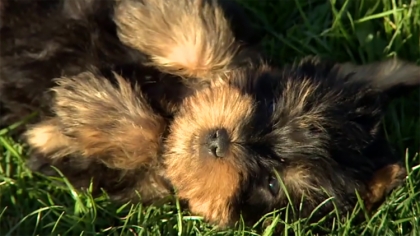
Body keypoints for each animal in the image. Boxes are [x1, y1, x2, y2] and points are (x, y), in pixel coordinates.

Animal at [1, 0, 418, 230]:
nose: (218, 140)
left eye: (270, 184)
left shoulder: (103, 176)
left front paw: (93, 110)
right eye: (268, 109)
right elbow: (212, 49)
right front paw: (157, 15)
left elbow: (151, 143)